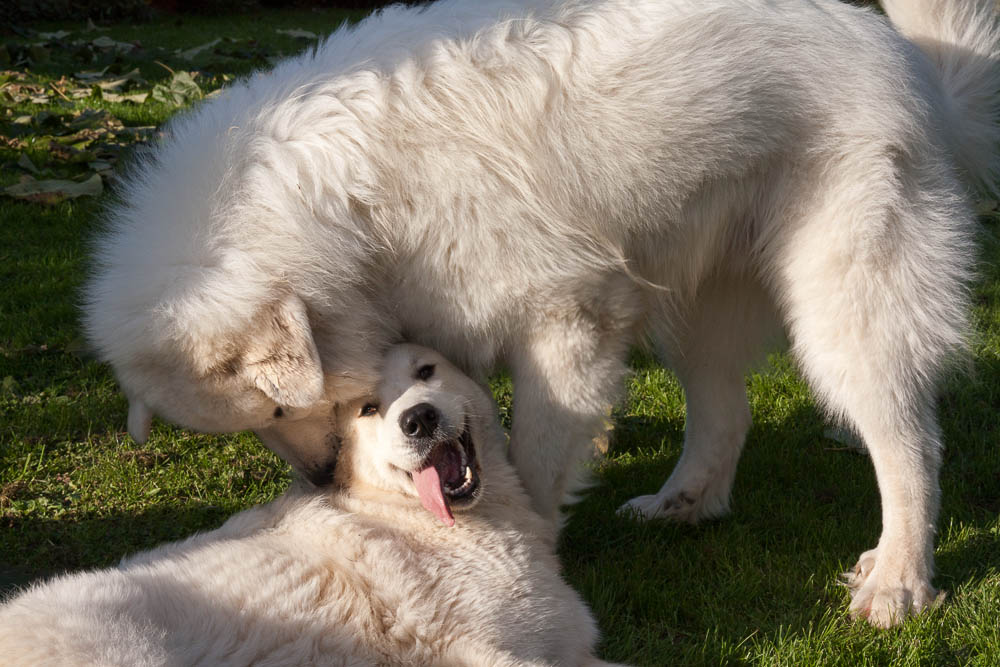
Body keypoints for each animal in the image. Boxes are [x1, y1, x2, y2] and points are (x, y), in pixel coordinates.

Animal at [84, 0, 1000, 628]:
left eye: (275, 410)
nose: (317, 478)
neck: (344, 208)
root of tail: (907, 62)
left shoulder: (563, 327)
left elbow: (531, 462)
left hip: (845, 304)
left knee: (907, 438)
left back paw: (899, 579)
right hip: (688, 300)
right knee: (725, 408)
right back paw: (685, 501)